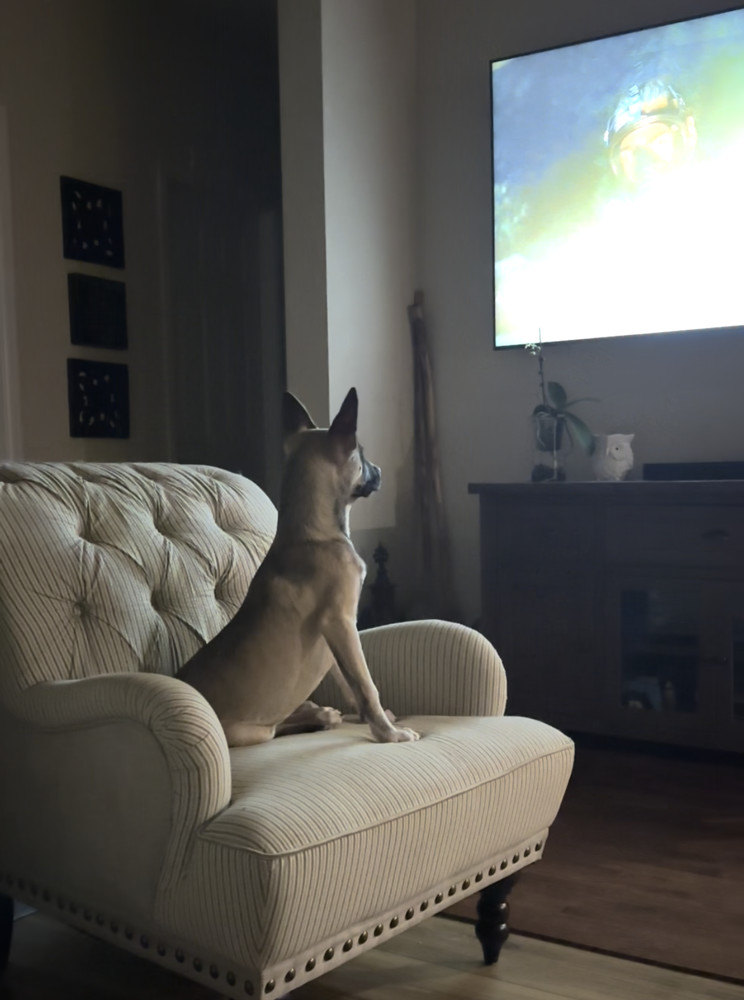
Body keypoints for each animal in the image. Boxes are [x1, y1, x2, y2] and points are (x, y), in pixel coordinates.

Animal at [174, 386, 418, 748]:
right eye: (360, 455)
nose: (380, 471)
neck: (312, 534)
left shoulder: (337, 639)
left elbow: (349, 683)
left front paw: (376, 719)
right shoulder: (341, 623)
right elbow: (365, 684)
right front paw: (388, 733)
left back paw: (320, 714)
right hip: (253, 731)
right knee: (275, 727)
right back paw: (316, 717)